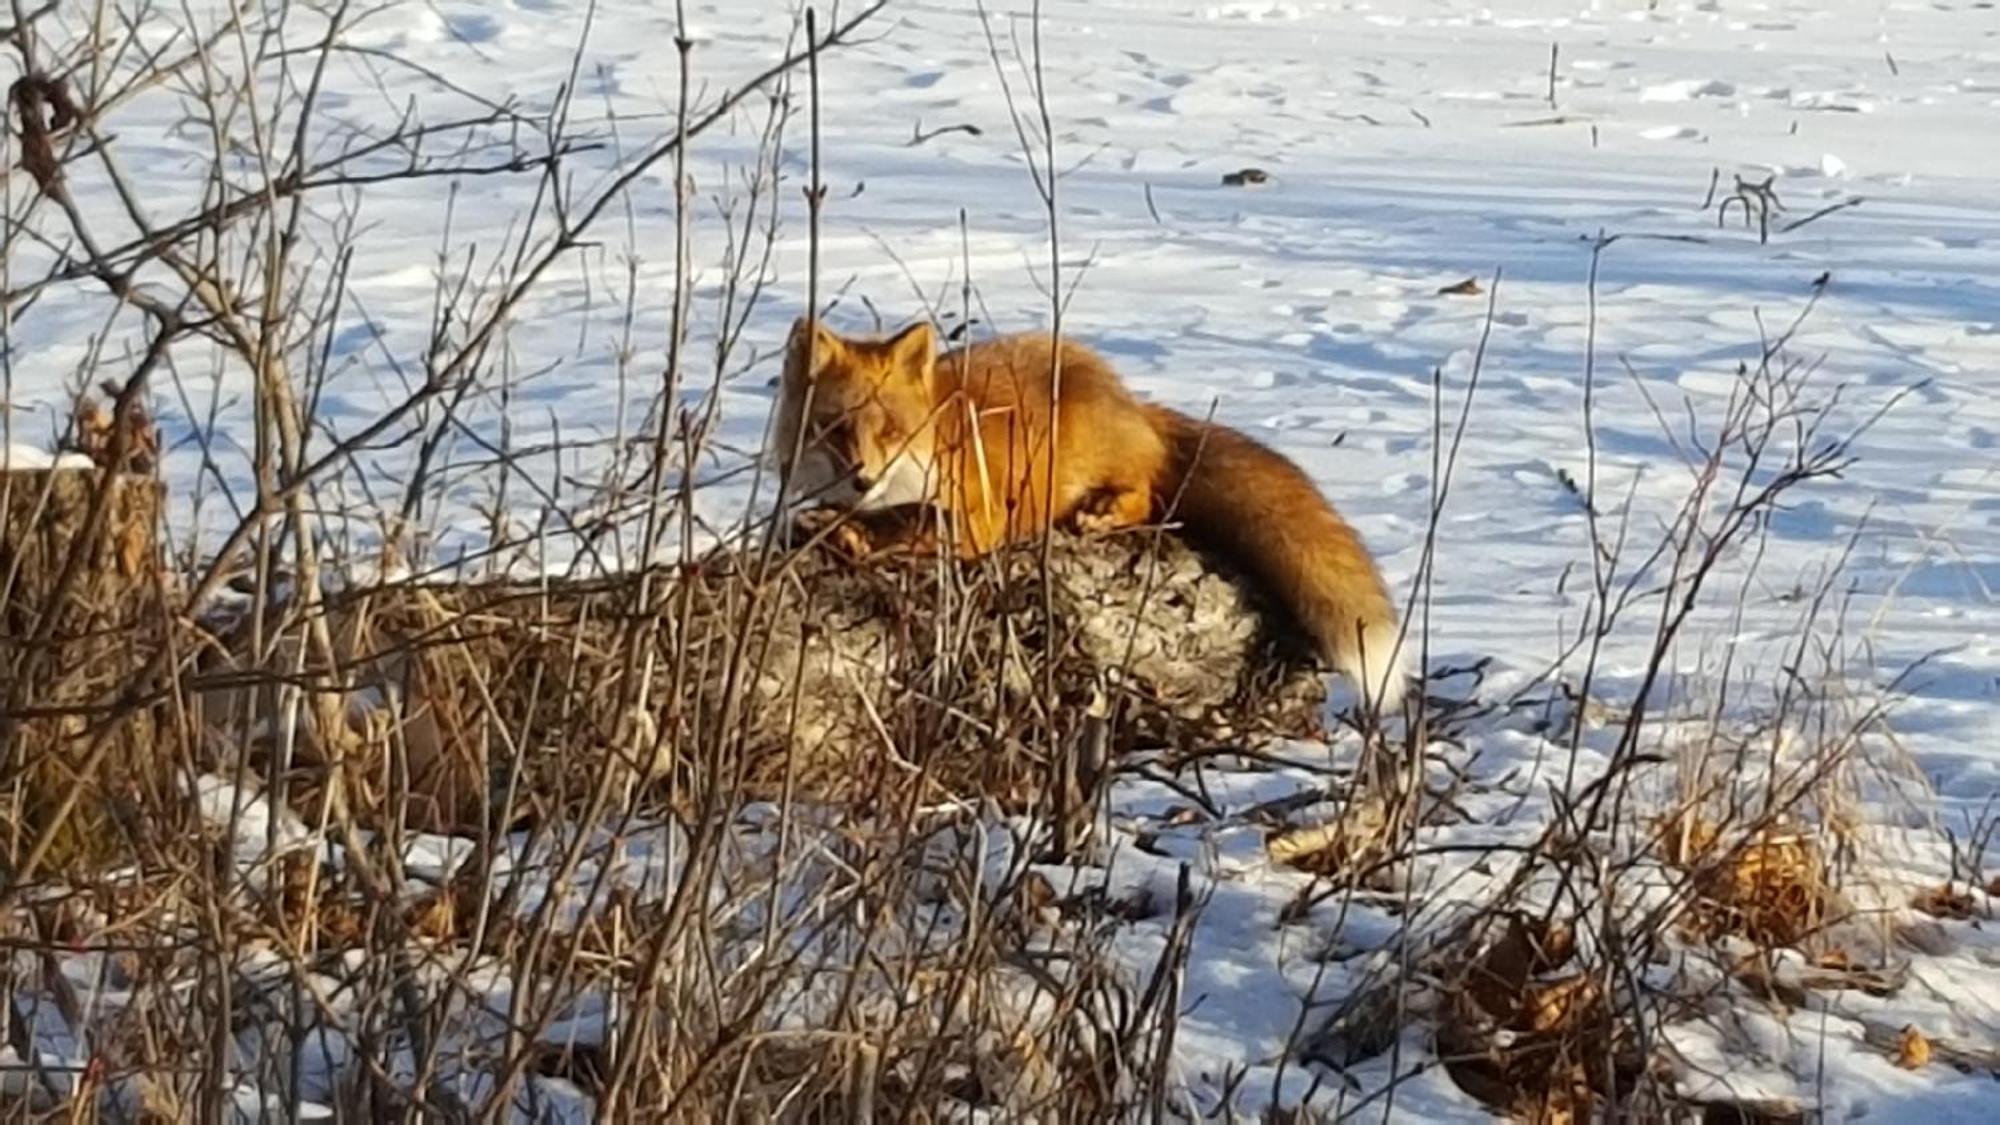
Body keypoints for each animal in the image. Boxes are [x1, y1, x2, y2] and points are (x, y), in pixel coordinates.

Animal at [768, 316, 1408, 704]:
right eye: (834, 428)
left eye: (891, 432)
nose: (862, 479)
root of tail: (1131, 398)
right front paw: (830, 527)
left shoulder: (976, 516)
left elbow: (903, 520)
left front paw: (848, 531)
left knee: (1149, 494)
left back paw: (1104, 509)